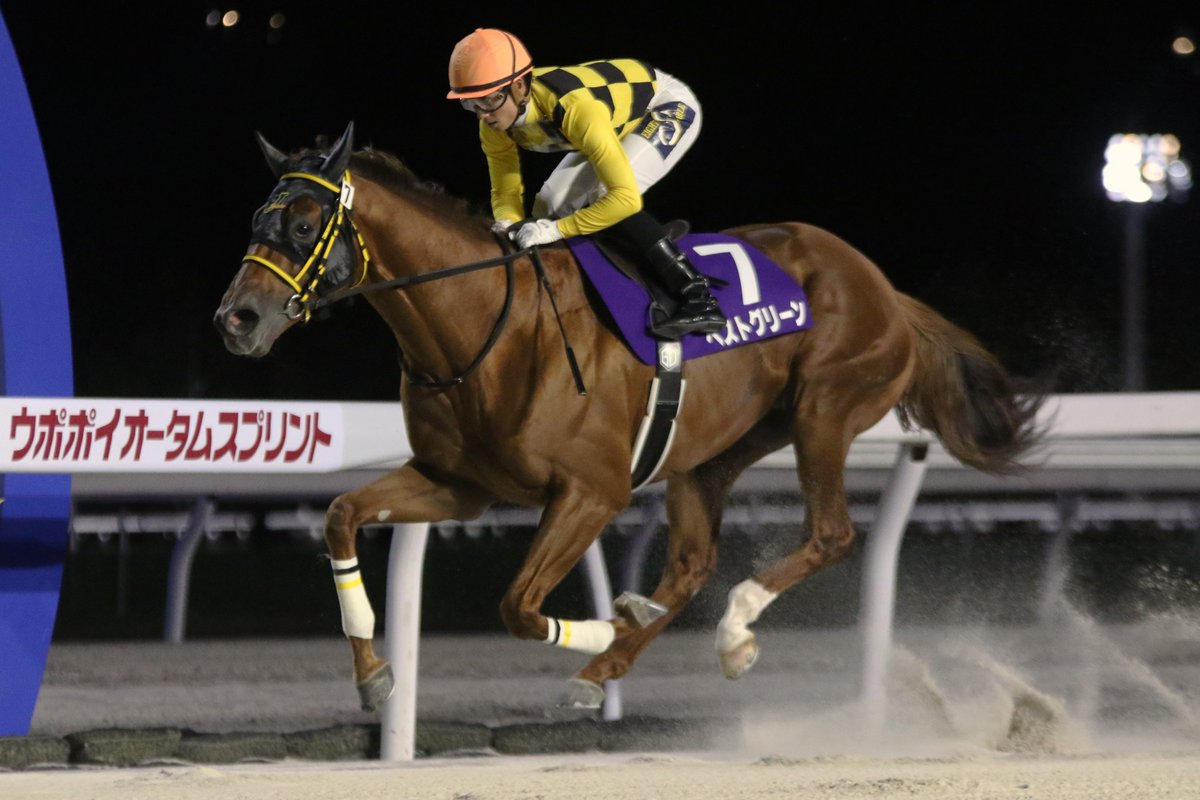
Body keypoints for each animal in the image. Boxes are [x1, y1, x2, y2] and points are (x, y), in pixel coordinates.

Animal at [214, 122, 1044, 713]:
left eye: (305, 223)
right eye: (257, 215)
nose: (237, 319)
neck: (486, 323)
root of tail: (884, 289)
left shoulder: (592, 491)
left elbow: (518, 606)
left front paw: (611, 619)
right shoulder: (458, 484)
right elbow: (341, 517)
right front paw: (375, 675)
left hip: (825, 410)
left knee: (831, 534)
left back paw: (727, 629)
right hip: (713, 449)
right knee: (692, 562)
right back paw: (645, 653)